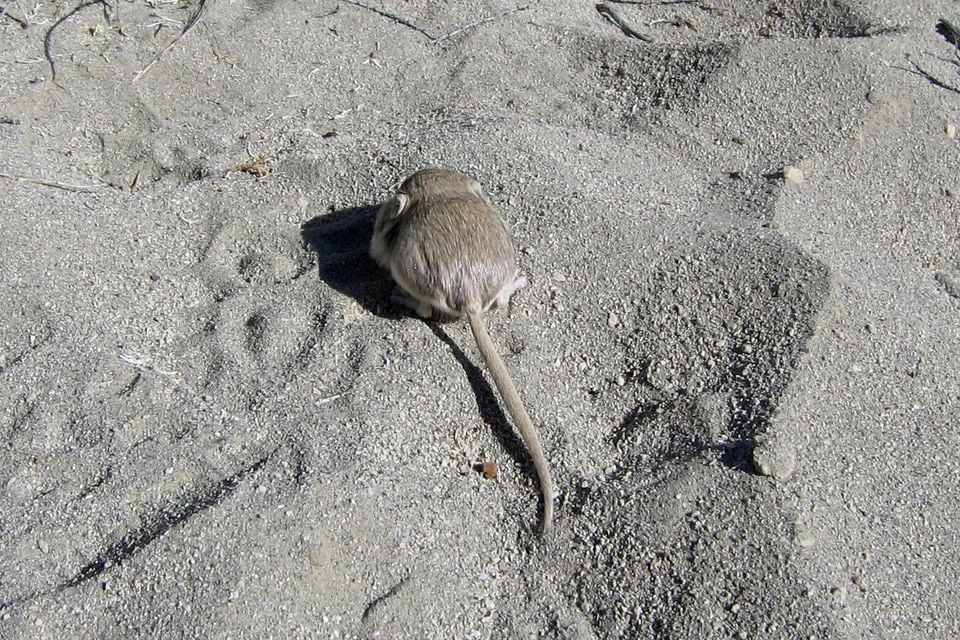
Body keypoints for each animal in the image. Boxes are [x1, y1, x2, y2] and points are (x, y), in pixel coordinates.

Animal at [370, 168, 555, 534]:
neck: (440, 191)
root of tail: (467, 294)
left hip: (410, 276)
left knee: (425, 311)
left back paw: (400, 296)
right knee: (500, 300)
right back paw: (517, 282)